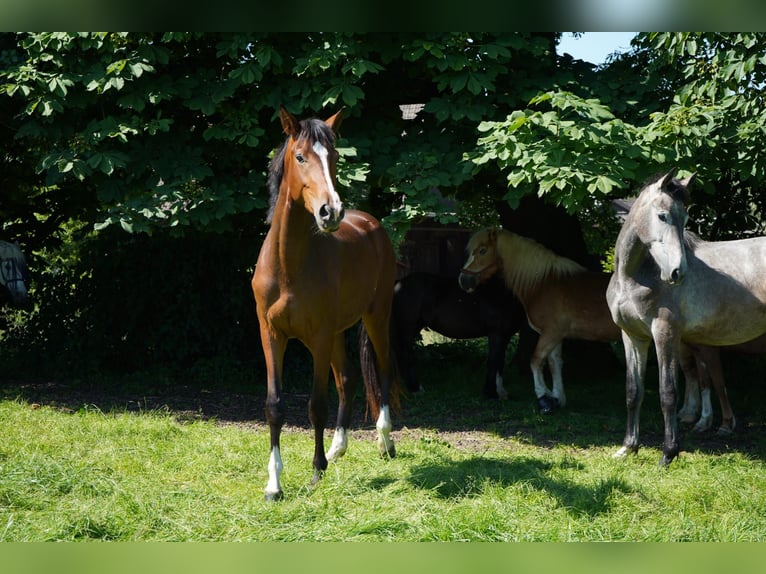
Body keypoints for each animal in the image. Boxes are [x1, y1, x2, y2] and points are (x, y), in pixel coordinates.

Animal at [254, 109, 402, 504]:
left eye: (333, 157)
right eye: (300, 156)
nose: (331, 211)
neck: (288, 266)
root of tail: (371, 223)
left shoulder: (317, 338)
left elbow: (315, 404)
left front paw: (316, 471)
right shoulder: (271, 336)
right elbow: (274, 405)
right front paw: (274, 484)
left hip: (377, 317)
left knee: (383, 370)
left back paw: (385, 442)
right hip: (338, 332)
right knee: (347, 379)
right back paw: (338, 448)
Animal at [392, 274, 524, 400]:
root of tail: (399, 284)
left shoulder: (505, 336)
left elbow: (500, 362)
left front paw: (501, 393)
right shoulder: (497, 334)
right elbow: (494, 361)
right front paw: (492, 394)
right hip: (408, 328)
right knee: (406, 354)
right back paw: (415, 389)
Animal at [460, 228, 620, 414]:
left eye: (482, 250)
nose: (463, 280)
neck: (543, 283)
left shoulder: (550, 333)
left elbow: (536, 361)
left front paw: (544, 398)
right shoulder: (556, 336)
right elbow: (554, 363)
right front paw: (557, 398)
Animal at [608, 171, 766, 468]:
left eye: (685, 220)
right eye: (662, 216)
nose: (677, 272)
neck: (634, 276)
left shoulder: (665, 334)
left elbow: (668, 393)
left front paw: (668, 454)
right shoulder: (633, 337)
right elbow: (633, 391)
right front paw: (628, 448)